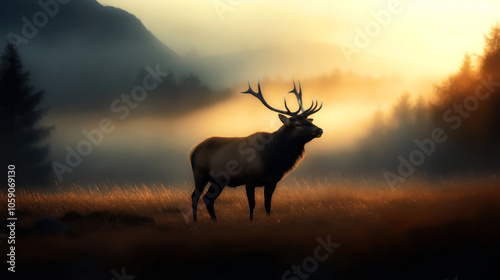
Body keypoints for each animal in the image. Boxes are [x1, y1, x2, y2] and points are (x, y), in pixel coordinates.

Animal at [188, 79, 324, 223]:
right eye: (298, 124)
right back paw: (195, 221)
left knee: (208, 198)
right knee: (195, 195)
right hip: (200, 173)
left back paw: (214, 220)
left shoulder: (272, 181)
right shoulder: (249, 178)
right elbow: (252, 203)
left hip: (217, 180)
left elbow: (268, 204)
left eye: (308, 121)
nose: (319, 130)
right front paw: (251, 220)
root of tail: (192, 152)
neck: (272, 159)